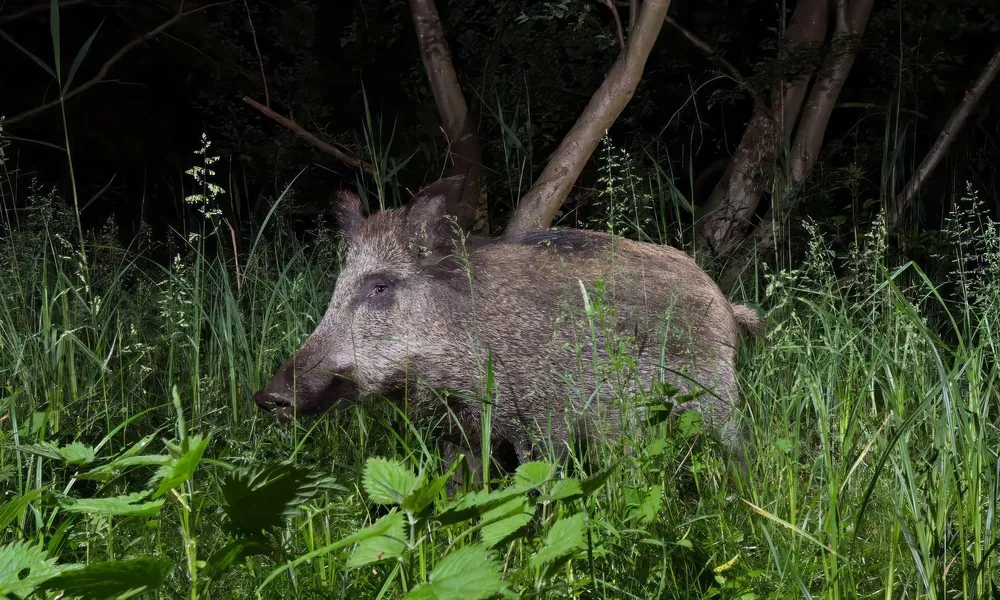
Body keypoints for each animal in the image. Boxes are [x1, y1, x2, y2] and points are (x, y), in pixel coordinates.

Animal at [254, 175, 761, 481]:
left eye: (379, 287)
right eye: (337, 284)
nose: (267, 397)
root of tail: (723, 301)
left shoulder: (543, 424)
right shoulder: (458, 432)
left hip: (715, 398)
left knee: (735, 448)